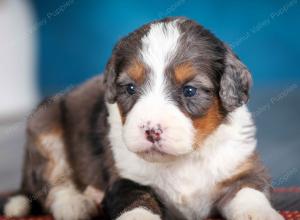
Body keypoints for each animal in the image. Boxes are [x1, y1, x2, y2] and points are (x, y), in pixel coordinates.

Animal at [3, 17, 282, 220]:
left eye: (190, 90)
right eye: (130, 88)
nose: (151, 130)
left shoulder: (241, 167)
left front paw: (262, 214)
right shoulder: (126, 177)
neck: (182, 160)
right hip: (45, 125)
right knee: (54, 182)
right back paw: (75, 204)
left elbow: (248, 193)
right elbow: (137, 201)